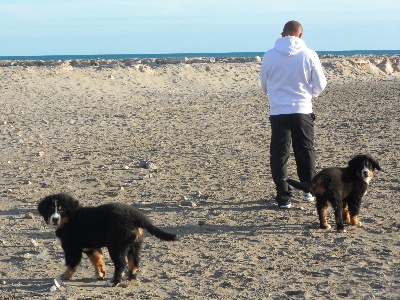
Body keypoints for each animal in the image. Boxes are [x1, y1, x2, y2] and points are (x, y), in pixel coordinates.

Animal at [37, 193, 178, 288]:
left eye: (62, 210)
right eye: (50, 209)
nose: (55, 219)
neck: (70, 220)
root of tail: (135, 215)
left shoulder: (72, 248)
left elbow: (71, 265)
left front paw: (63, 277)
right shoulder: (91, 247)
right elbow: (98, 260)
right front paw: (100, 273)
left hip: (116, 245)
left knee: (121, 263)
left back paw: (114, 282)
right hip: (135, 244)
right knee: (134, 261)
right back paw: (130, 276)